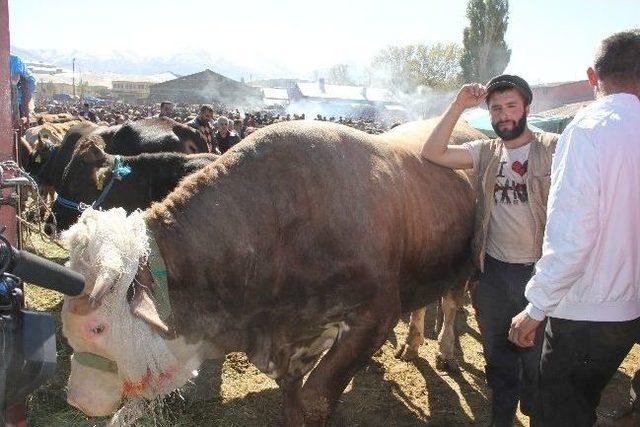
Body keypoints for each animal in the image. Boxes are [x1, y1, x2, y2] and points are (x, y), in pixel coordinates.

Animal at [62, 118, 478, 426]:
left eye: (97, 328)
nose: (77, 400)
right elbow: (292, 395)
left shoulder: (375, 317)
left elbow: (315, 398)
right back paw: (411, 344)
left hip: (464, 268)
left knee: (451, 304)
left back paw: (446, 351)